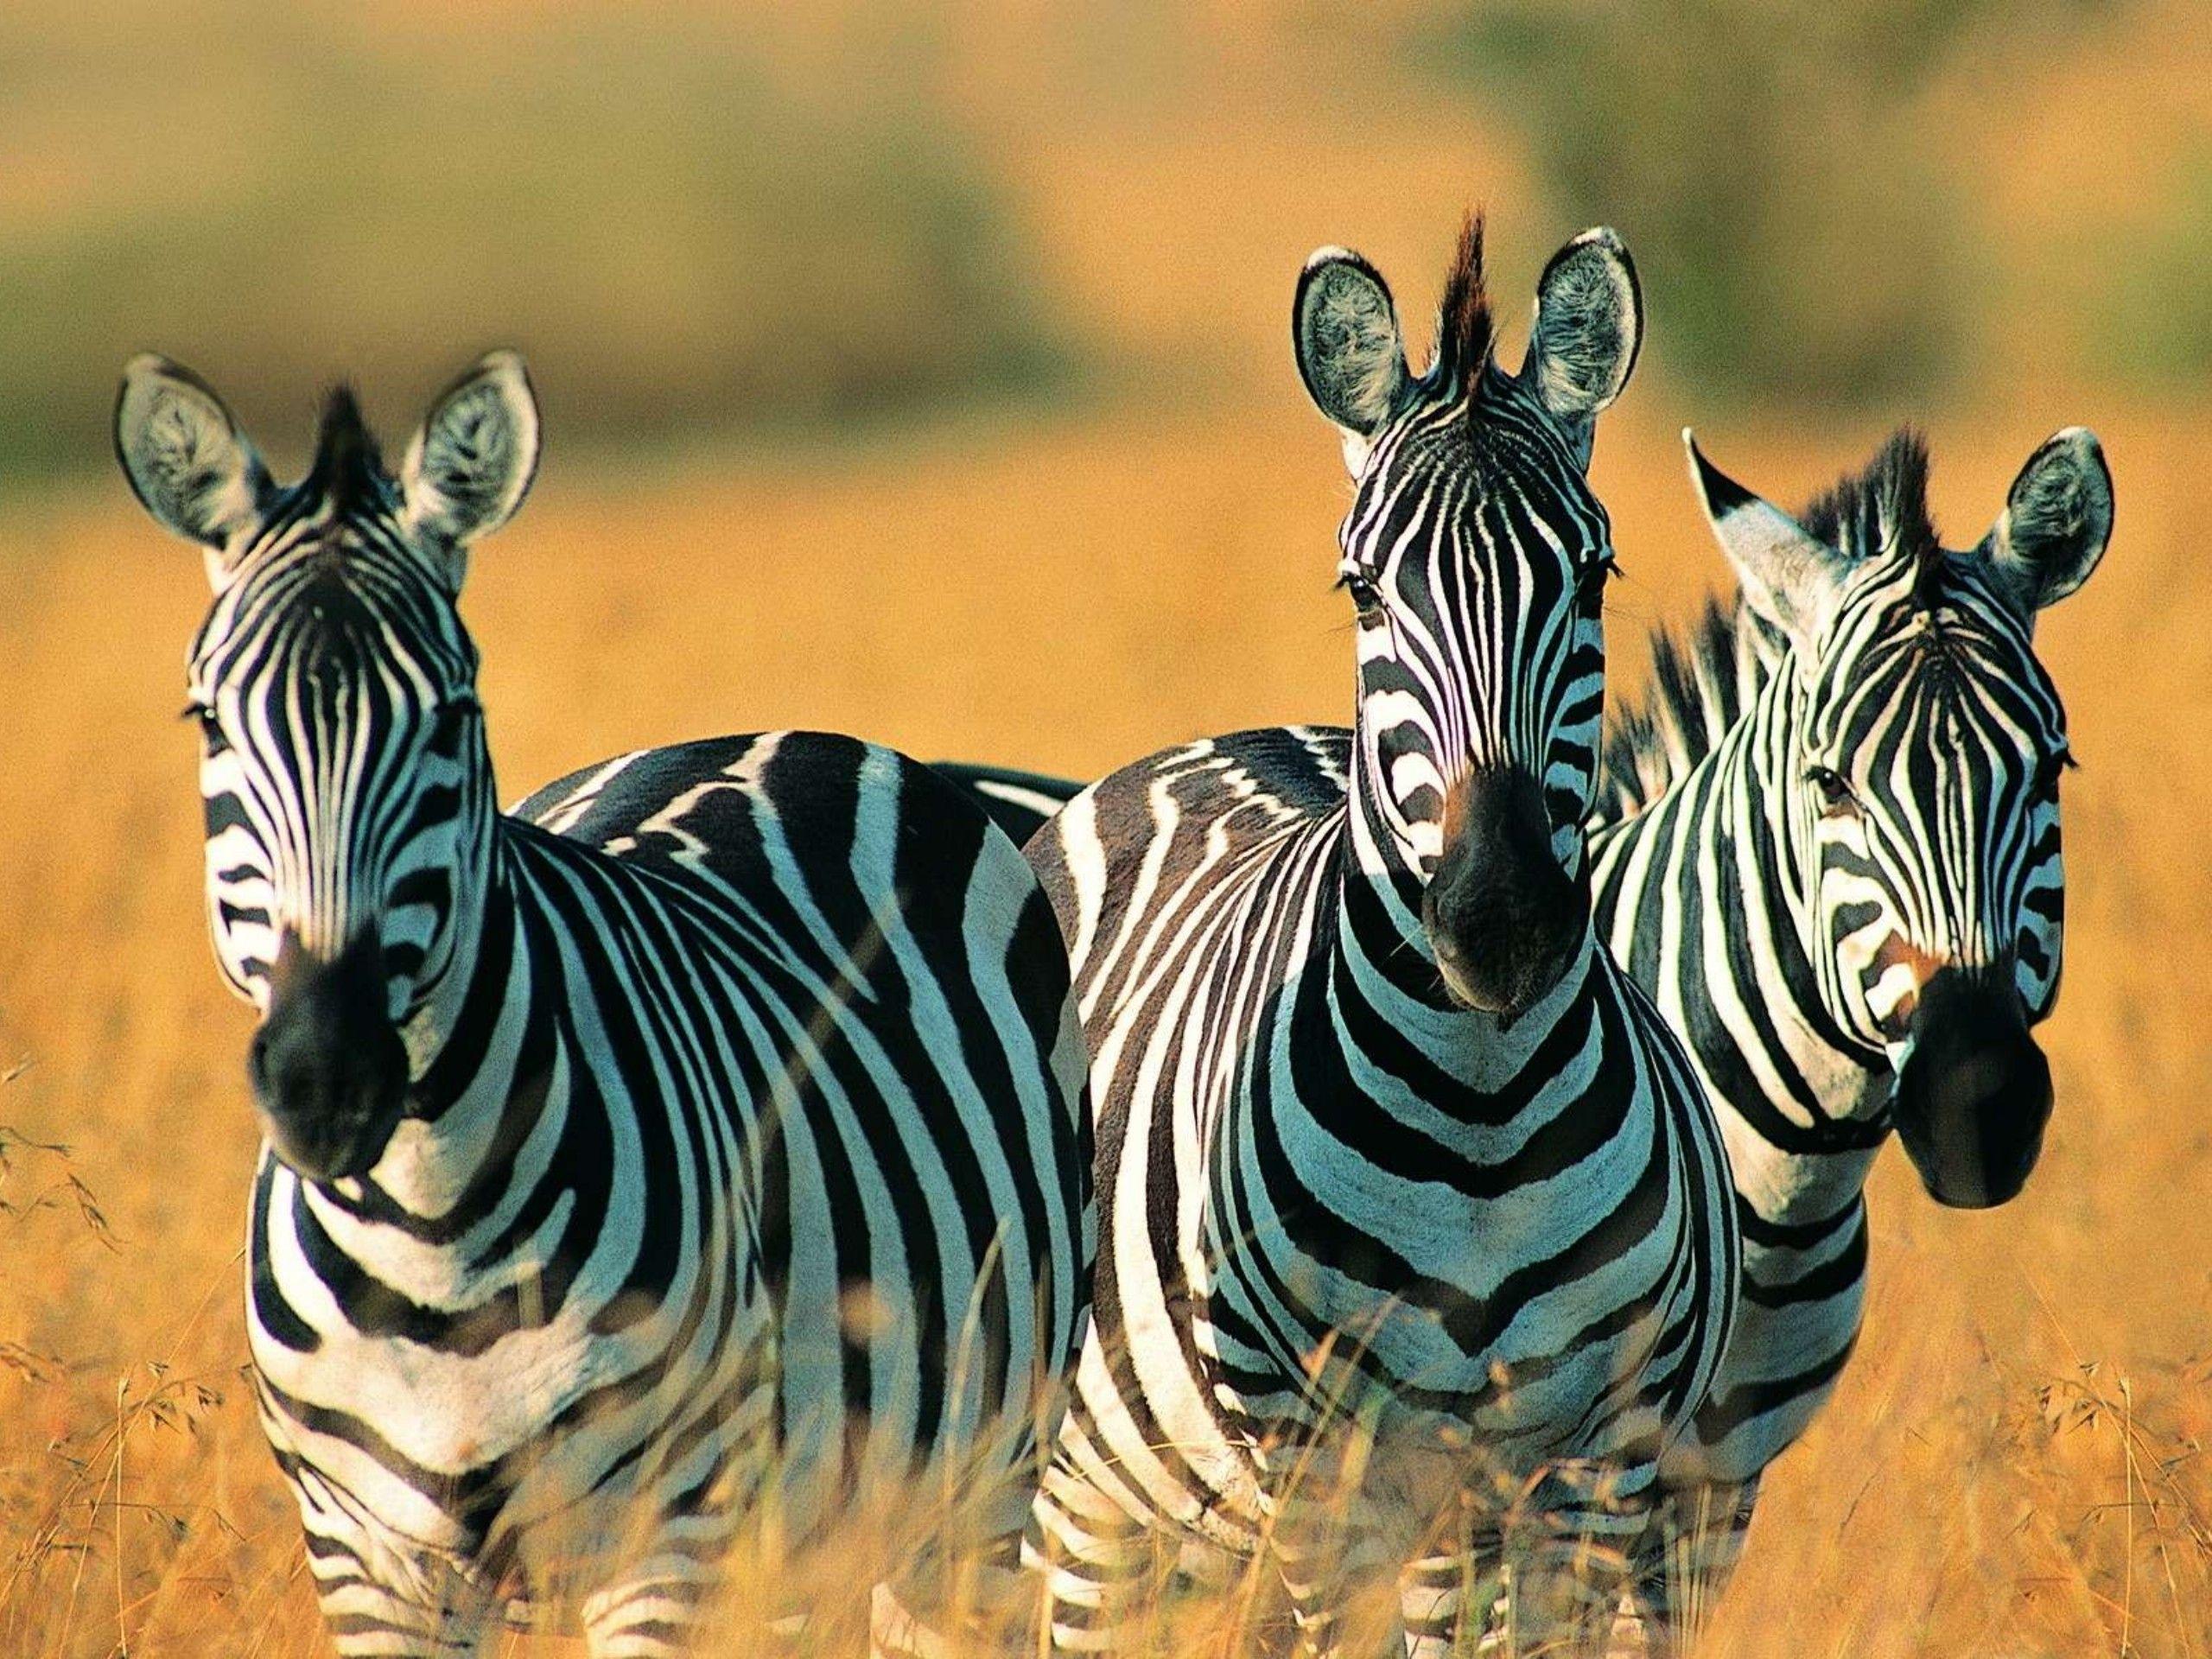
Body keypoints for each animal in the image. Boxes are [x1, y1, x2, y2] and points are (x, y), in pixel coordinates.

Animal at [114, 351, 1094, 1657]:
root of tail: (793, 733)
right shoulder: (366, 1555)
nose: (330, 1081)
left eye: (453, 716)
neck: (432, 1241)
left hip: (970, 1487)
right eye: (210, 720)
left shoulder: (667, 1535)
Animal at [1018, 216, 1741, 1658]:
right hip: (1095, 1501)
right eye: (1362, 592)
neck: (1482, 1120)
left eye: (1595, 576)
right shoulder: (1320, 1464)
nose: (1500, 921)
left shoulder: (1595, 1461)